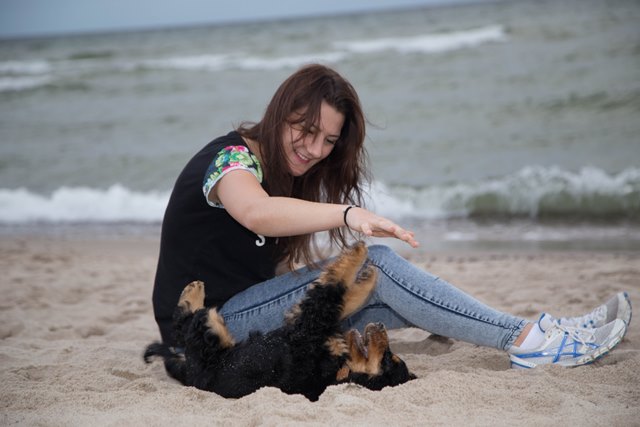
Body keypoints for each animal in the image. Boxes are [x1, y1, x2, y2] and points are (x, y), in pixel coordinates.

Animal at [144, 242, 415, 401]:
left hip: (209, 341)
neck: (339, 370)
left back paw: (193, 293)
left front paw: (358, 251)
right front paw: (369, 275)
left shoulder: (309, 326)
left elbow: (329, 290)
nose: (380, 327)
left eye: (389, 359)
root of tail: (190, 376)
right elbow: (343, 301)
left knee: (190, 323)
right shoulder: (318, 327)